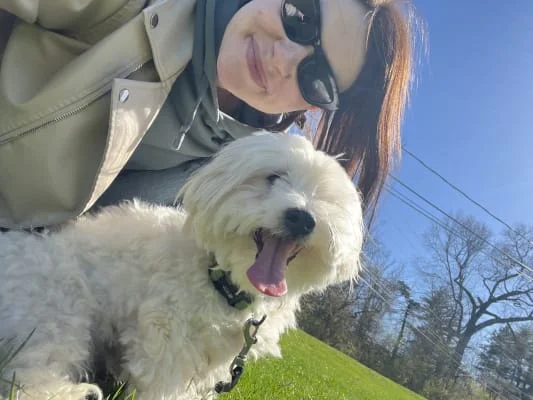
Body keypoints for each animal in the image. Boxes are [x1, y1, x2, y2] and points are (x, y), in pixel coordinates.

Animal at [0, 133, 363, 399]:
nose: (302, 218)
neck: (222, 282)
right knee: (31, 374)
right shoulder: (165, 337)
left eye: (325, 197)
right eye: (273, 177)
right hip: (58, 304)